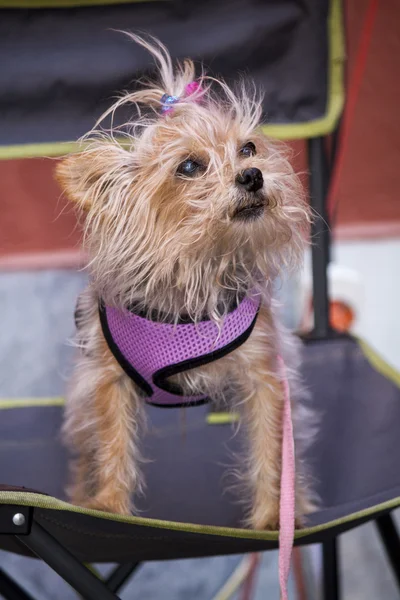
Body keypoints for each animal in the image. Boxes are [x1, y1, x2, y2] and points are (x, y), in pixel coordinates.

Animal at [56, 34, 312, 528]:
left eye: (248, 148)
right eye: (190, 167)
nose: (253, 175)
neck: (197, 268)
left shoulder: (265, 376)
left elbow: (272, 448)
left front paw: (275, 517)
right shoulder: (107, 382)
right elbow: (112, 446)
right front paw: (109, 505)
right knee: (84, 453)